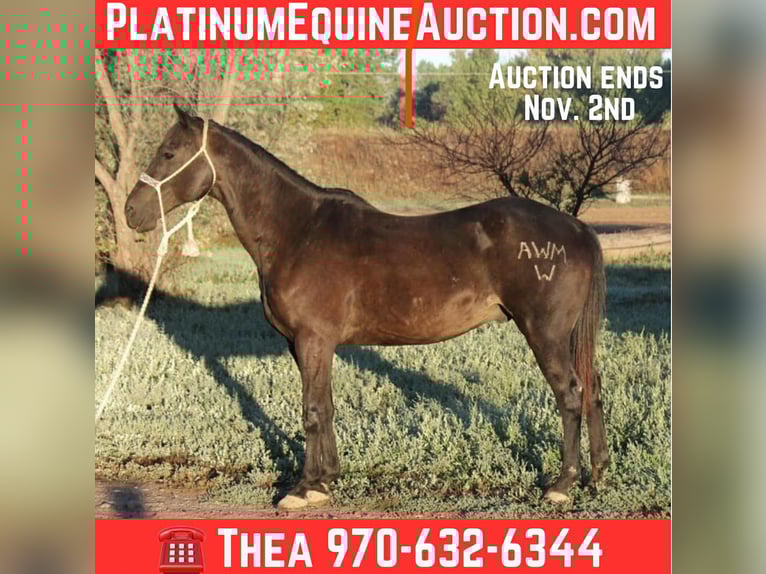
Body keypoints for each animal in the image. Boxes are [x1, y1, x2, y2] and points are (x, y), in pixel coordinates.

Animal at [125, 104, 608, 510]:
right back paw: (597, 472)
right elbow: (325, 405)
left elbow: (312, 410)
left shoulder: (313, 339)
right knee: (592, 387)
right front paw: (325, 481)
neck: (298, 230)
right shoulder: (305, 345)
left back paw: (562, 484)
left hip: (544, 332)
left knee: (570, 393)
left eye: (168, 153)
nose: (131, 212)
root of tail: (577, 228)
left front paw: (302, 489)